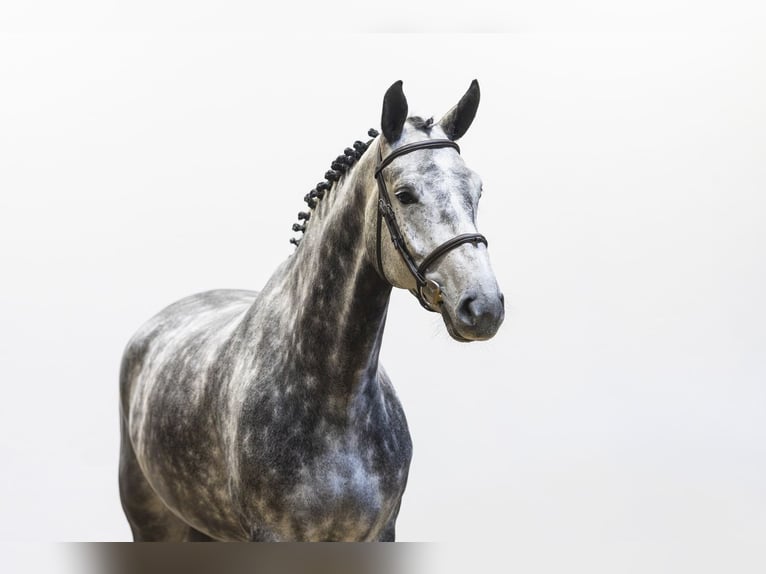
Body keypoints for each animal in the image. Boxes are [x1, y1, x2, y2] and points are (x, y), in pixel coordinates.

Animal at [118, 80, 505, 542]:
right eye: (405, 194)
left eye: (476, 189)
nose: (483, 306)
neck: (336, 399)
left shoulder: (379, 532)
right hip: (151, 521)